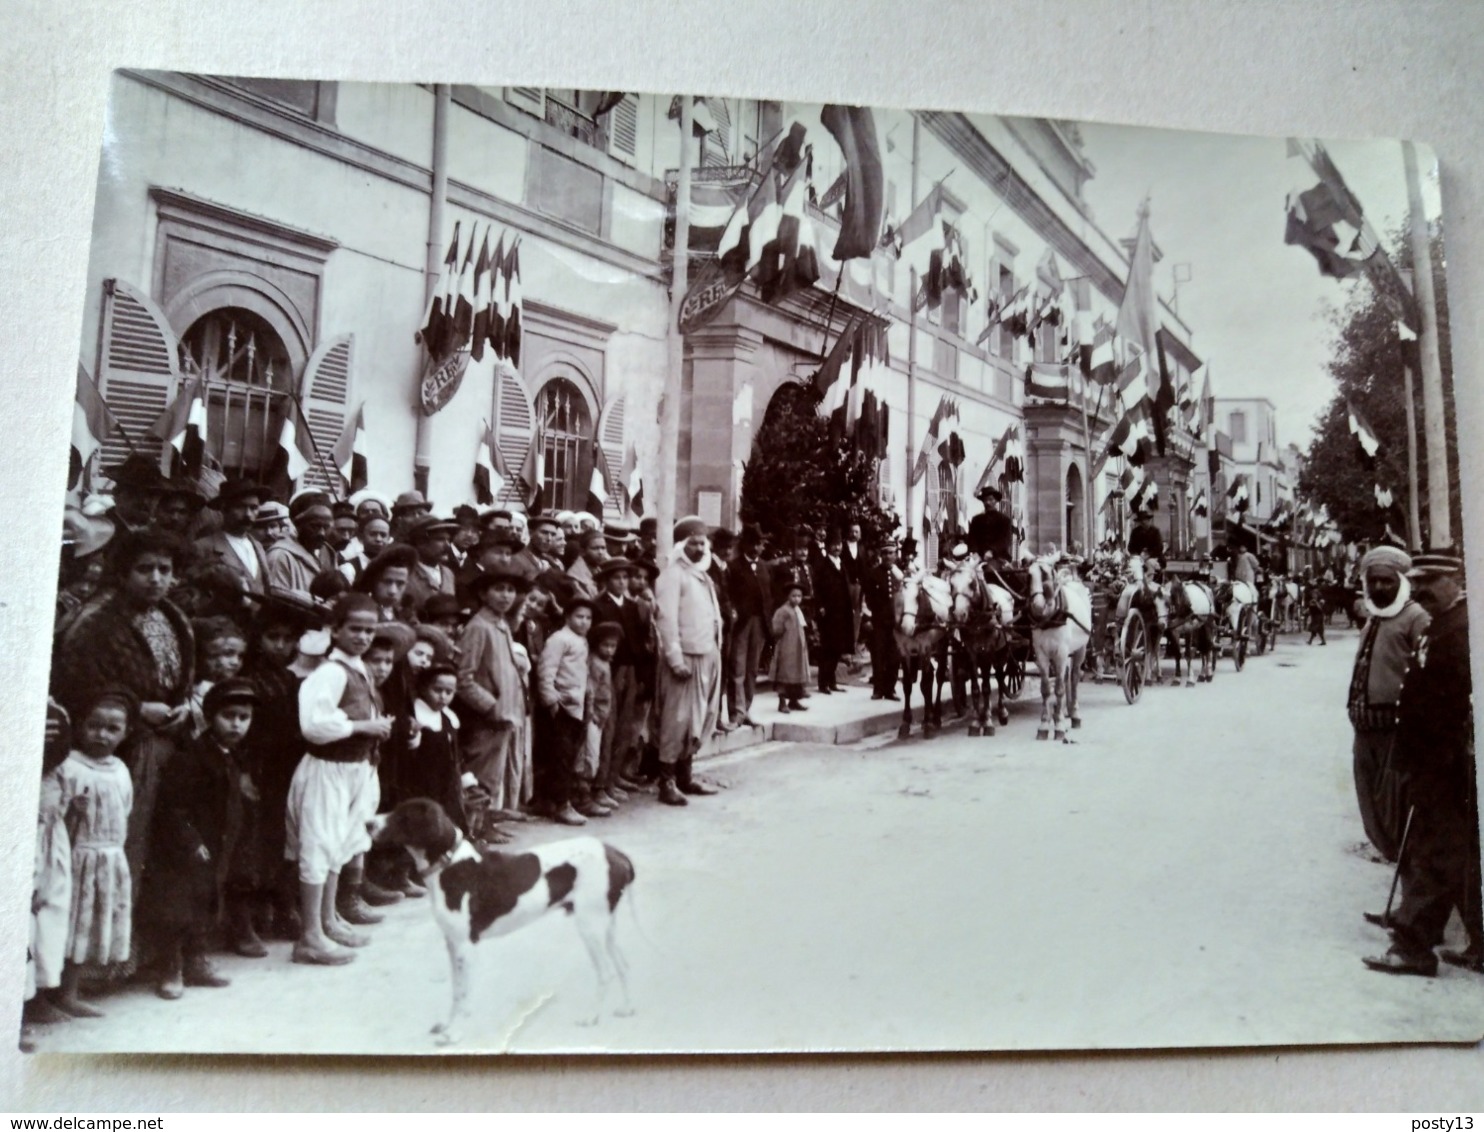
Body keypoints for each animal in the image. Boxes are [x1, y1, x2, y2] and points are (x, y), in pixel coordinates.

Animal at [368, 795, 635, 1044]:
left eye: (404, 816)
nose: (367, 823)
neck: (449, 865)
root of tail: (616, 854)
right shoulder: (452, 943)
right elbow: (456, 990)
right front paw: (448, 1025)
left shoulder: (465, 946)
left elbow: (464, 994)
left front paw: (455, 1032)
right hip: (604, 927)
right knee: (623, 965)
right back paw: (626, 1008)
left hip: (591, 927)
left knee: (607, 972)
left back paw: (592, 1017)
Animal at [1032, 554, 1092, 744]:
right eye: (1028, 576)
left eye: (1045, 575)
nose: (1037, 605)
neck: (1050, 617)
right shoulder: (1041, 655)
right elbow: (1046, 689)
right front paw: (1045, 725)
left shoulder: (1061, 653)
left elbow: (1058, 688)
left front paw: (1058, 726)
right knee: (1066, 678)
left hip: (1080, 649)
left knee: (1073, 678)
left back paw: (1074, 715)